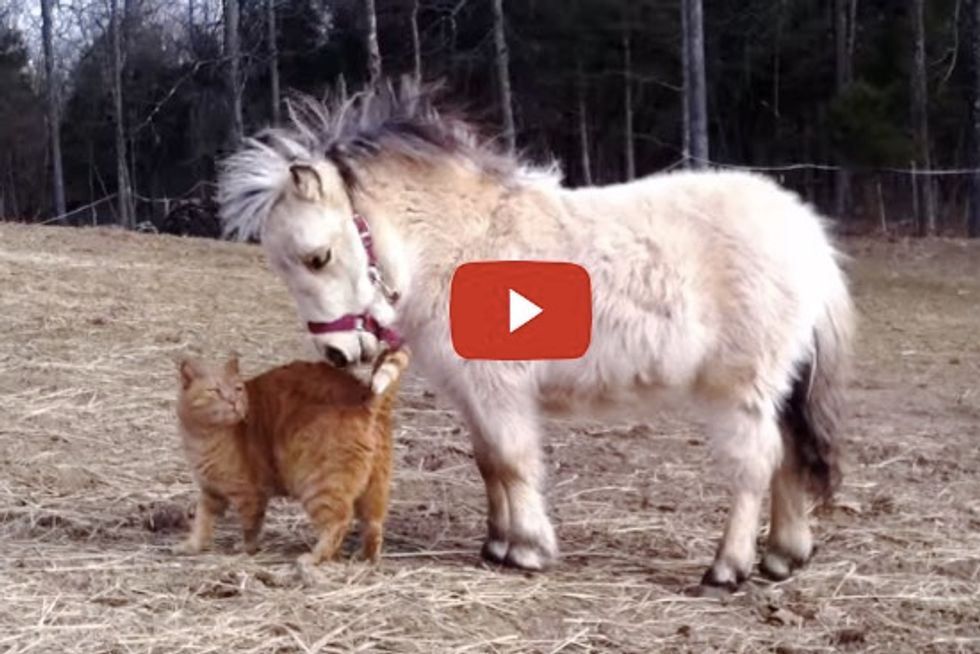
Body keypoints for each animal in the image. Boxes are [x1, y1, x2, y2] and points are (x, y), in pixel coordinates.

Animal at [174, 352, 408, 568]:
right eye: (214, 391)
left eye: (238, 389)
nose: (233, 402)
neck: (201, 437)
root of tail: (366, 398)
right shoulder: (210, 492)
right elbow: (202, 521)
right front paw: (192, 545)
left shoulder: (250, 493)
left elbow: (250, 527)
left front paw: (246, 549)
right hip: (374, 489)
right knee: (374, 525)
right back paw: (366, 558)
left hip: (317, 485)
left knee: (339, 521)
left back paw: (314, 557)